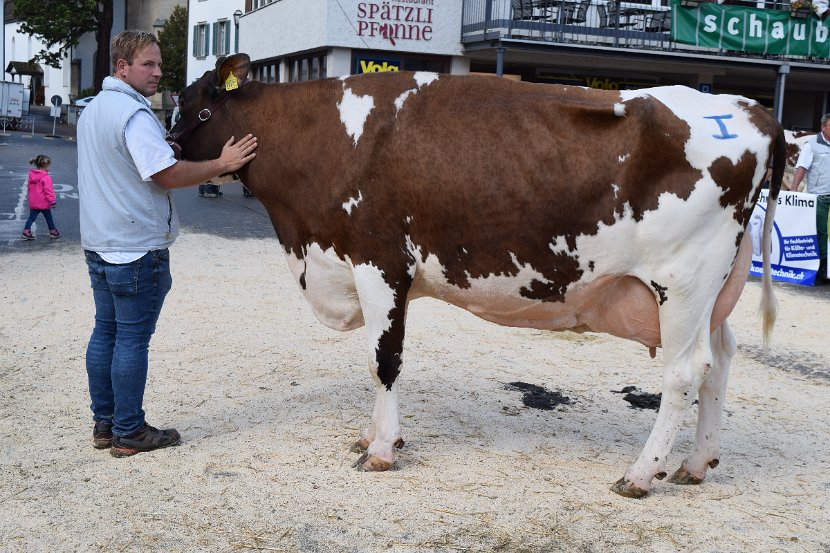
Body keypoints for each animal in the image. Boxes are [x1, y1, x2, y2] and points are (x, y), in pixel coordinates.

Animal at [171, 54, 788, 498]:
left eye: (194, 110)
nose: (170, 153)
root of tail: (750, 109)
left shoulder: (379, 262)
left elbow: (382, 360)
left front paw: (382, 449)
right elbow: (376, 360)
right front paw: (370, 434)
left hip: (682, 281)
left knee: (685, 372)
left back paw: (639, 475)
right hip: (715, 290)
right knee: (721, 360)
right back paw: (696, 463)